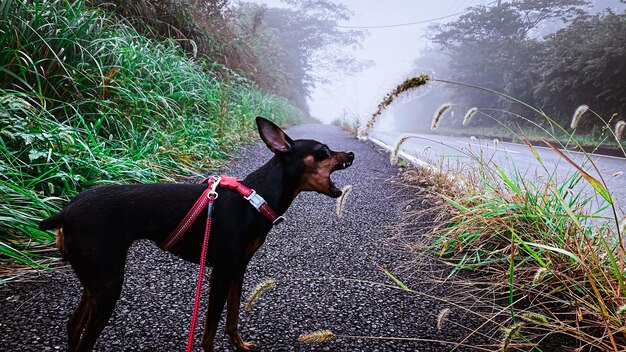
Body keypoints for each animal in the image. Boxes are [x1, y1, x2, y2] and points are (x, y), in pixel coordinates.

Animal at [39, 117, 354, 350]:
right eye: (324, 150)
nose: (351, 153)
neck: (256, 197)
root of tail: (66, 212)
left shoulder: (237, 270)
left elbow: (232, 319)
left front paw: (241, 346)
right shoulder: (221, 274)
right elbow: (209, 332)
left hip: (96, 280)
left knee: (73, 326)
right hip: (107, 285)